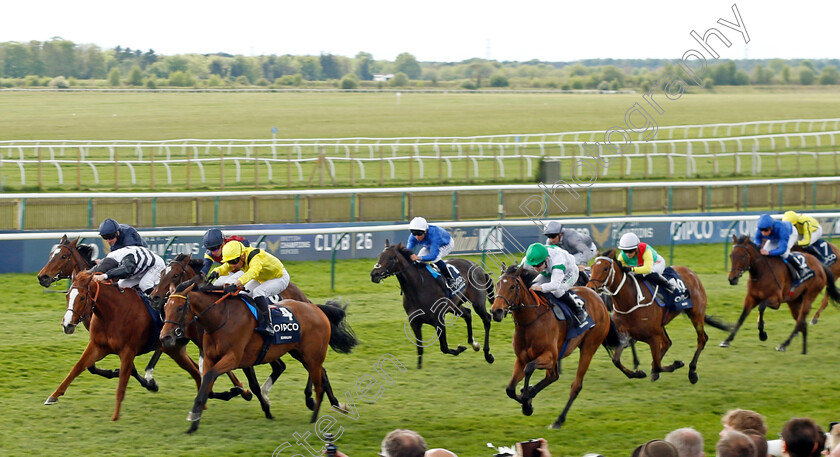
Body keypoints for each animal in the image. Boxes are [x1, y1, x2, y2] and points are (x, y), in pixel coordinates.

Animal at [46, 270, 205, 420]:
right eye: (67, 296)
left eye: (82, 298)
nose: (66, 325)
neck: (112, 314)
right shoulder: (97, 346)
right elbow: (77, 368)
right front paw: (53, 396)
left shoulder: (128, 352)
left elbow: (121, 384)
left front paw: (115, 416)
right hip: (175, 349)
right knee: (196, 371)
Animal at [160, 272, 358, 432]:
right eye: (165, 308)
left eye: (179, 308)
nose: (165, 337)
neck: (221, 318)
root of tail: (315, 307)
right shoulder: (210, 357)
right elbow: (205, 386)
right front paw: (194, 421)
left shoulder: (233, 358)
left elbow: (210, 378)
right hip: (299, 352)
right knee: (321, 374)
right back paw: (337, 405)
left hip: (310, 354)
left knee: (317, 378)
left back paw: (315, 410)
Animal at [370, 240, 498, 368]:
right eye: (379, 256)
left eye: (392, 258)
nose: (374, 274)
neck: (418, 286)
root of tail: (478, 267)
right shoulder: (415, 322)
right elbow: (420, 349)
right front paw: (419, 368)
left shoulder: (438, 320)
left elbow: (444, 347)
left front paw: (460, 348)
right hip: (454, 305)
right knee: (467, 314)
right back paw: (473, 343)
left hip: (477, 302)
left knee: (486, 319)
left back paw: (488, 355)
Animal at [488, 264, 612, 428]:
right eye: (497, 285)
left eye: (512, 286)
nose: (496, 311)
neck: (531, 321)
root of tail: (598, 298)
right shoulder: (521, 358)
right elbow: (510, 389)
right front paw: (527, 400)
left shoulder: (550, 356)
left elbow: (529, 369)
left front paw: (527, 401)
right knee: (553, 376)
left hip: (588, 348)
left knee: (576, 385)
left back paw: (559, 420)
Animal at [584, 251, 728, 382]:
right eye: (592, 267)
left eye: (605, 268)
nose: (590, 287)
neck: (631, 301)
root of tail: (690, 272)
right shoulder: (626, 335)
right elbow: (616, 361)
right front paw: (637, 373)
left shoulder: (652, 337)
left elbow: (658, 364)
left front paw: (675, 364)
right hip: (662, 326)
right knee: (667, 343)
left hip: (696, 314)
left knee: (701, 339)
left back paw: (692, 371)